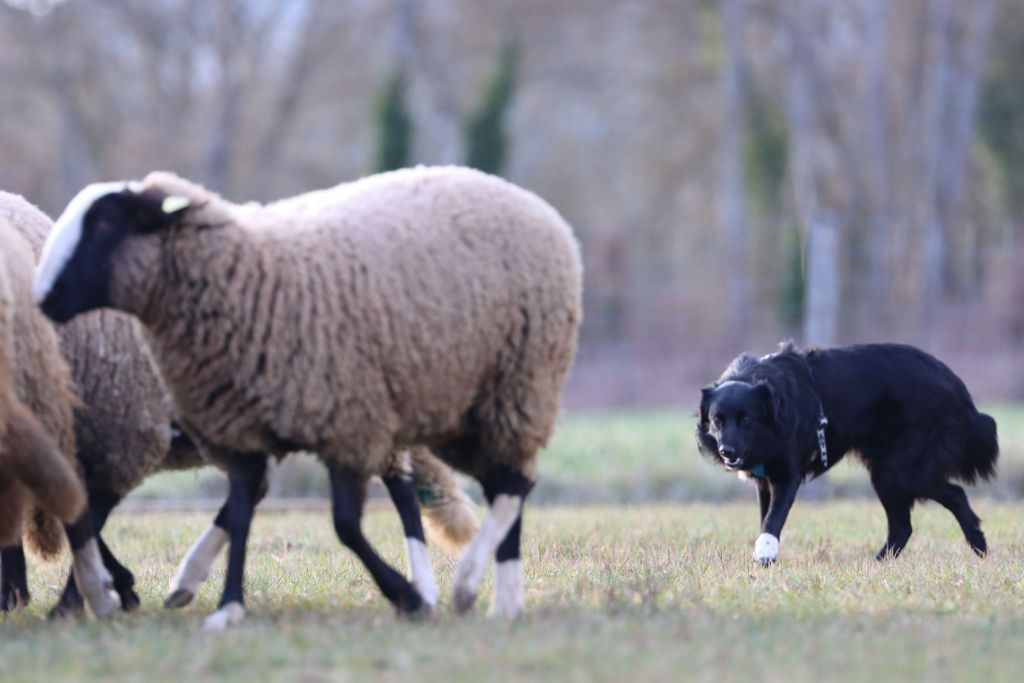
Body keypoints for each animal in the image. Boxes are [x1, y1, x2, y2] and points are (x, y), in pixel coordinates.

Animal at [700, 342, 995, 565]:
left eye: (746, 419)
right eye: (717, 420)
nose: (727, 452)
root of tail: (954, 385)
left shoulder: (787, 477)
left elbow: (773, 519)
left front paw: (765, 554)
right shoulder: (764, 482)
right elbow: (766, 517)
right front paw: (767, 554)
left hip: (898, 471)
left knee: (947, 498)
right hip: (893, 471)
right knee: (909, 521)